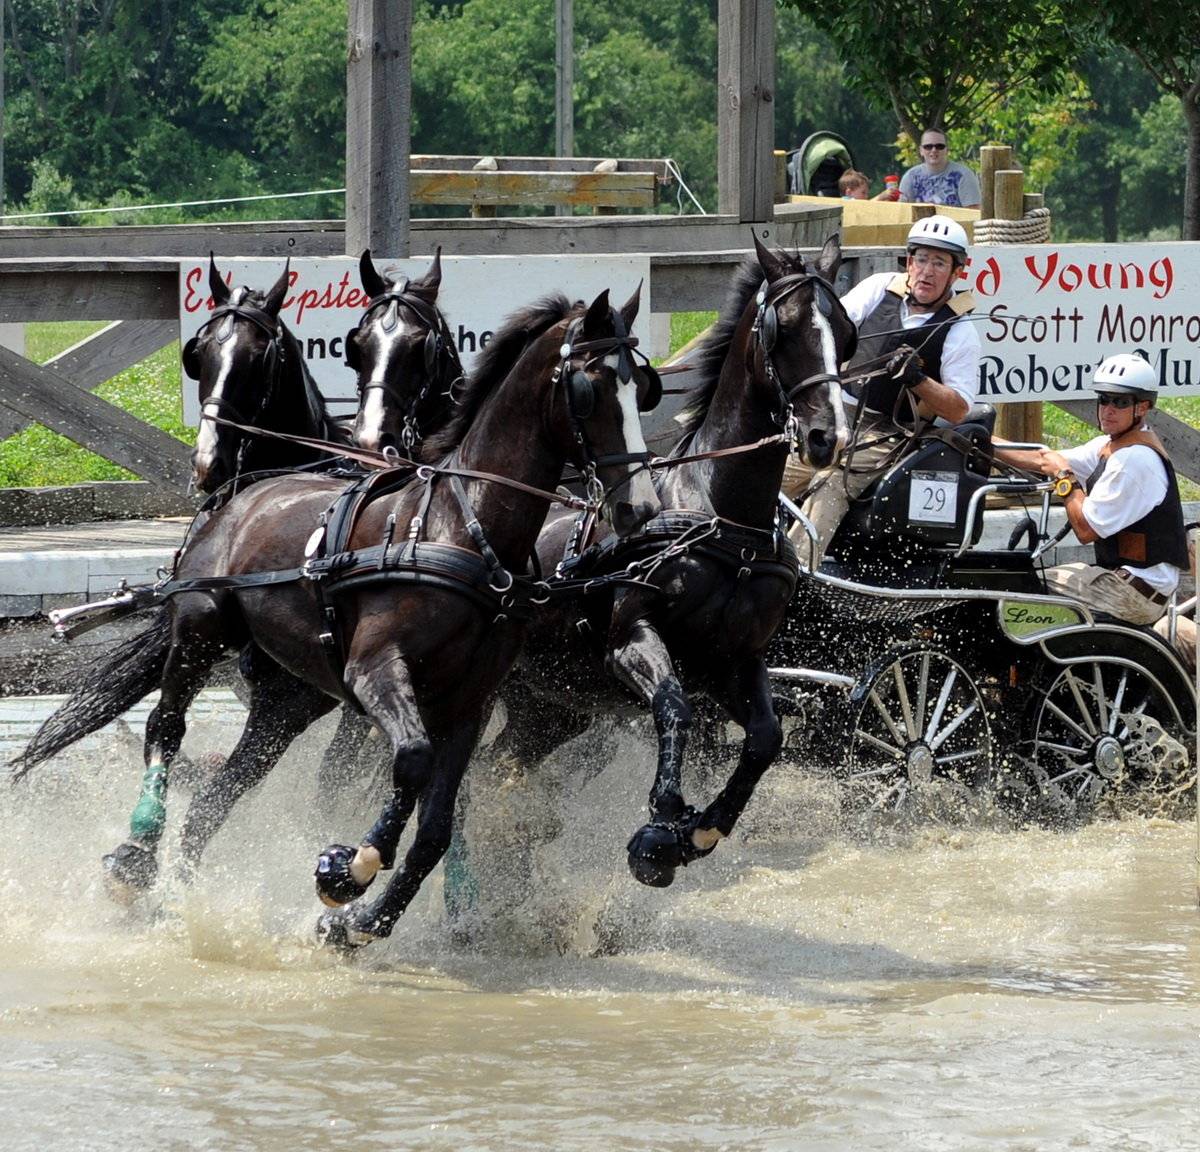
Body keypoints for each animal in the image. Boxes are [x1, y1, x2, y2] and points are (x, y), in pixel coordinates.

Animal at [14, 283, 662, 940]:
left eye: (642, 385)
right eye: (589, 389)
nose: (638, 508)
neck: (462, 528)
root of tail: (243, 488)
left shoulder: (469, 703)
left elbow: (435, 827)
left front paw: (365, 921)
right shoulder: (375, 671)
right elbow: (410, 762)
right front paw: (351, 869)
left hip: (289, 695)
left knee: (217, 799)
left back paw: (178, 900)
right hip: (201, 627)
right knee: (165, 727)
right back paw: (137, 853)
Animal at [477, 231, 854, 883]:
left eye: (844, 330)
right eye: (783, 329)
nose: (827, 436)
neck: (723, 520)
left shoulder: (735, 658)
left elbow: (766, 736)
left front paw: (702, 830)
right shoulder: (632, 639)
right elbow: (675, 707)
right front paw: (660, 829)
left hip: (547, 710)